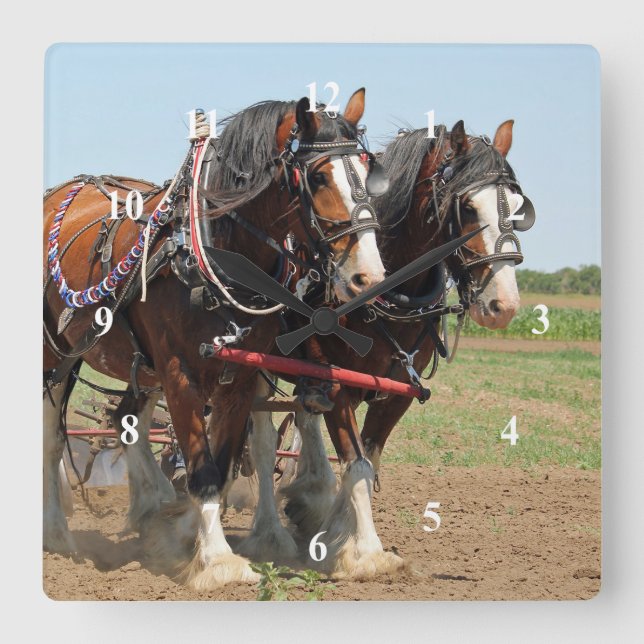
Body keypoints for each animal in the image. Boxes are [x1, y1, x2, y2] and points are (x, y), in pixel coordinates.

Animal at [43, 88, 389, 589]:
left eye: (366, 169)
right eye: (318, 176)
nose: (369, 276)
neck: (210, 253)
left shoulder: (240, 374)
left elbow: (222, 466)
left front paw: (191, 539)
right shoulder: (178, 372)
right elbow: (202, 468)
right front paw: (218, 562)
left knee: (125, 420)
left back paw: (152, 510)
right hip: (56, 354)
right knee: (53, 437)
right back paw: (57, 532)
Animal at [246, 118, 535, 578]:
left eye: (519, 207)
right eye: (468, 208)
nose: (503, 305)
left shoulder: (397, 392)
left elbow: (368, 460)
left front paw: (335, 531)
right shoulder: (340, 386)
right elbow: (357, 464)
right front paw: (366, 552)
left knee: (304, 419)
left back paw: (309, 499)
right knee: (259, 444)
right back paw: (269, 533)